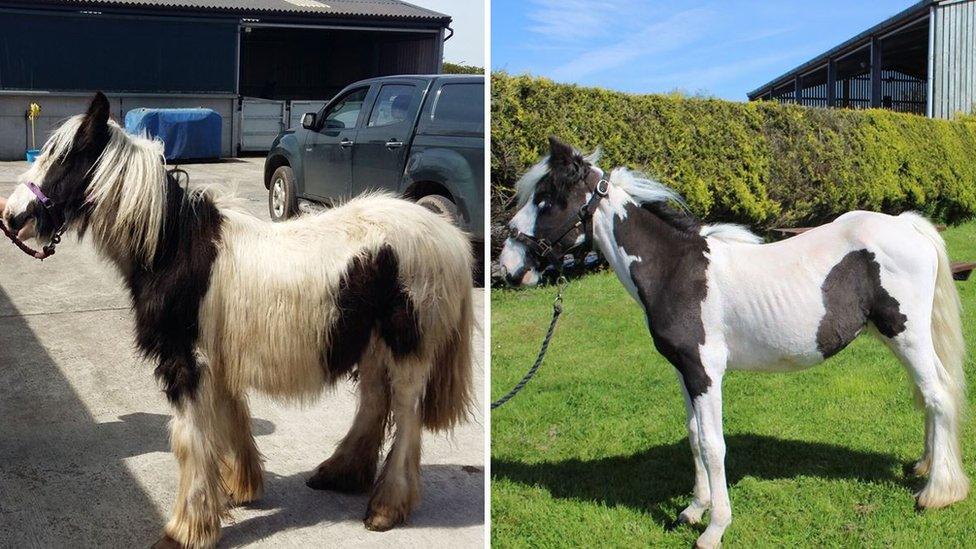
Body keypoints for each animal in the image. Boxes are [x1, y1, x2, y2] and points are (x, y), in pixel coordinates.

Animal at [2, 94, 476, 548]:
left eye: (65, 158)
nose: (12, 216)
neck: (175, 248)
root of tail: (449, 237)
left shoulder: (186, 365)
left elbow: (192, 439)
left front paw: (188, 529)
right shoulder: (217, 363)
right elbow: (228, 422)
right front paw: (237, 489)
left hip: (408, 350)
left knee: (407, 415)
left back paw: (386, 507)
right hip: (373, 343)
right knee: (375, 402)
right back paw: (341, 474)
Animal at [504, 137, 968, 548]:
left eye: (546, 199)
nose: (508, 266)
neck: (676, 269)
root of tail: (906, 224)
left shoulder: (706, 372)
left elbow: (714, 445)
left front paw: (714, 528)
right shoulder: (684, 372)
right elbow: (694, 435)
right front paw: (694, 509)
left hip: (907, 336)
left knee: (938, 395)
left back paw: (937, 492)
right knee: (929, 395)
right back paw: (926, 467)